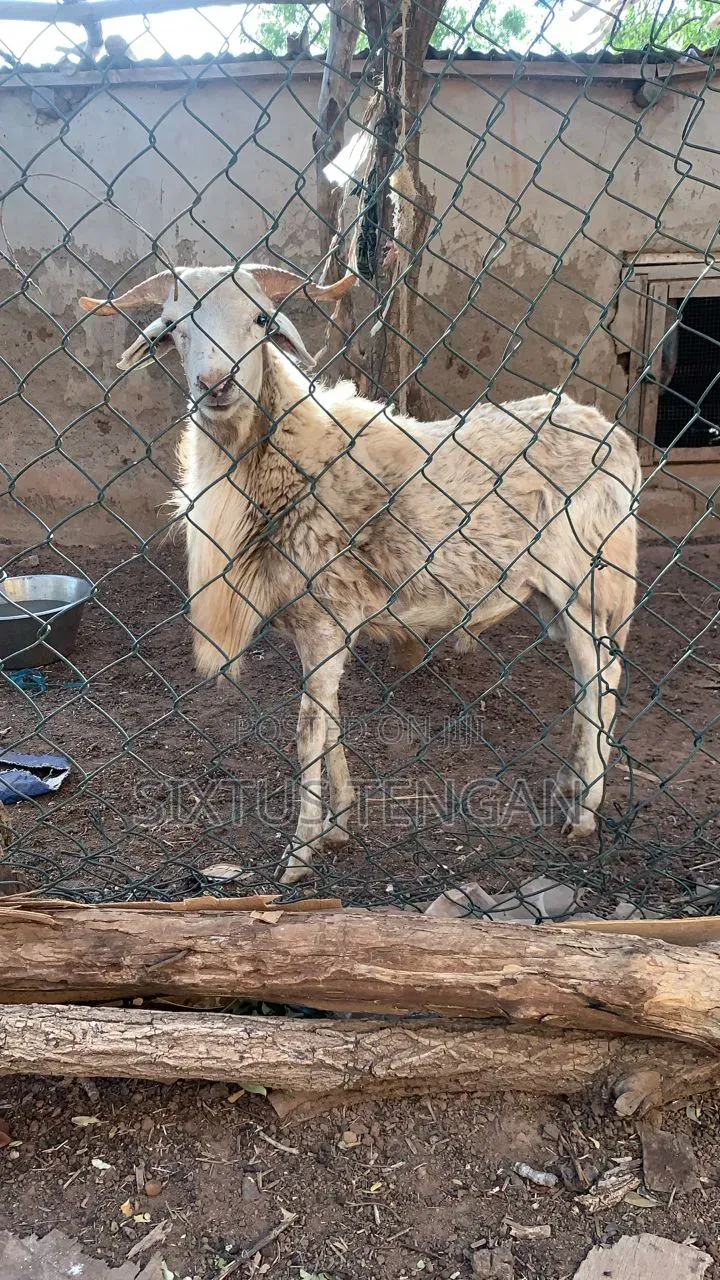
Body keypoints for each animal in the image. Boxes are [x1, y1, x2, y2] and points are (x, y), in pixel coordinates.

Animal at [79, 262, 641, 884]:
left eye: (261, 320)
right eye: (175, 329)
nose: (215, 384)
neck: (285, 465)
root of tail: (611, 431)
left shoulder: (328, 619)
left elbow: (308, 730)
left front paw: (300, 852)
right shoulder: (315, 628)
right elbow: (330, 724)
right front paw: (340, 825)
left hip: (589, 580)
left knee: (601, 678)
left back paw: (585, 810)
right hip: (547, 590)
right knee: (584, 682)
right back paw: (571, 780)